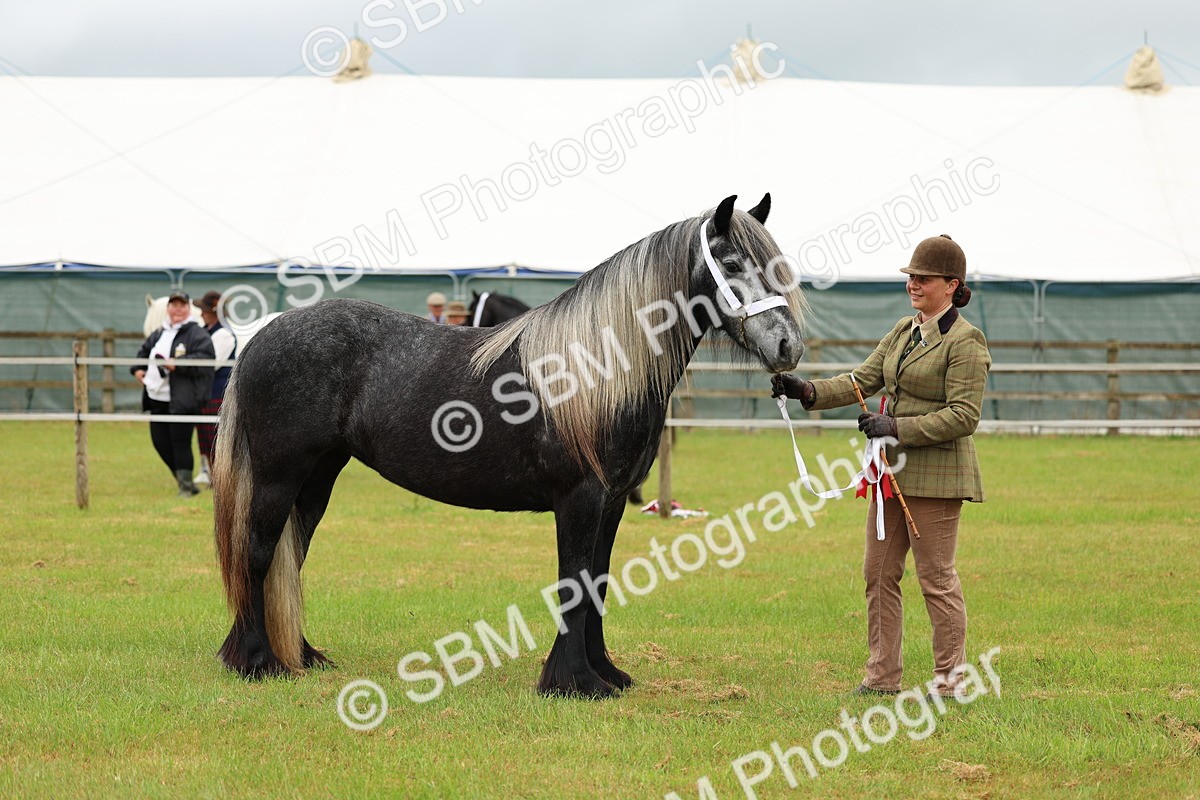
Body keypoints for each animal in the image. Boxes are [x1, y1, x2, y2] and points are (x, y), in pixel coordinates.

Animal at [213, 194, 806, 697]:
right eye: (730, 263)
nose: (787, 347)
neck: (597, 370)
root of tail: (263, 334)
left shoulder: (612, 502)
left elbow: (598, 583)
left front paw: (606, 674)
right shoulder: (579, 499)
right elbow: (575, 582)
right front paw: (573, 682)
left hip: (318, 477)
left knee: (290, 554)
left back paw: (300, 656)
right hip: (279, 476)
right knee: (259, 552)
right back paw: (256, 662)